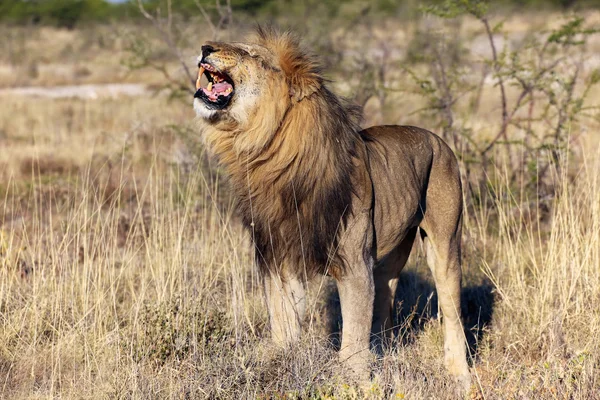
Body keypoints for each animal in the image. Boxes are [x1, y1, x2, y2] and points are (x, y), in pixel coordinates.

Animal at [195, 28, 472, 390]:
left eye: (251, 54)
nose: (205, 47)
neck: (272, 156)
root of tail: (439, 139)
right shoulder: (280, 260)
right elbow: (284, 327)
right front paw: (280, 369)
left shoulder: (353, 266)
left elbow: (352, 338)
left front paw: (353, 384)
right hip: (390, 255)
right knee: (383, 306)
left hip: (445, 241)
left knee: (452, 309)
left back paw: (459, 374)